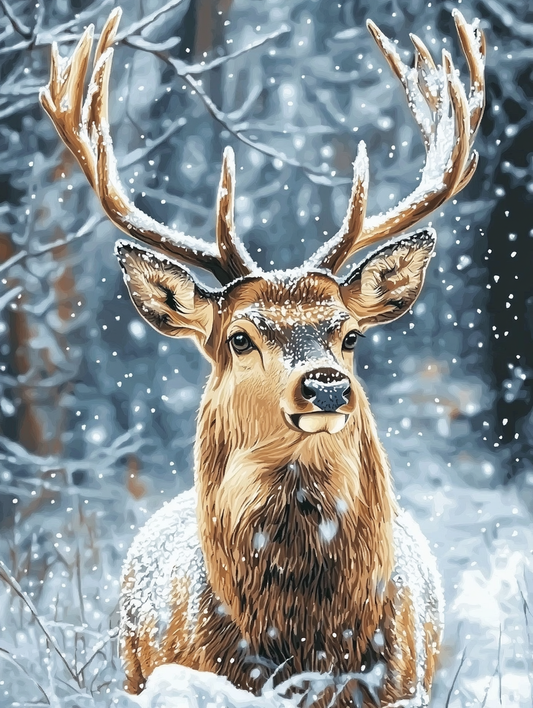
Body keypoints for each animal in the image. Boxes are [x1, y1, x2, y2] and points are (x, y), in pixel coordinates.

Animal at [40, 7, 485, 707]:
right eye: (240, 338)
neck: (304, 643)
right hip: (133, 670)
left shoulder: (404, 683)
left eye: (349, 334)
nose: (326, 385)